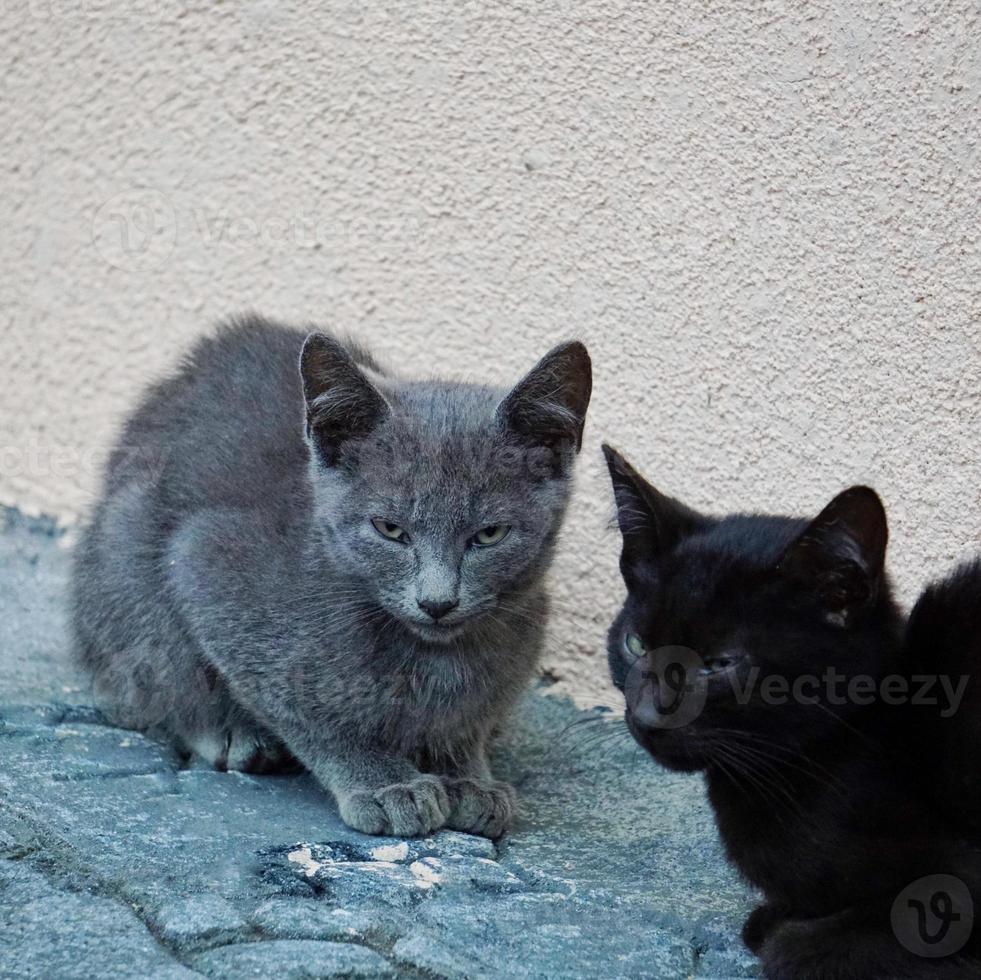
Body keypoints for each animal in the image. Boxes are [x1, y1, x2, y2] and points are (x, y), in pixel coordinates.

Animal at [71, 318, 588, 840]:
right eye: (389, 529)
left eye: (489, 534)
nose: (437, 602)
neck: (433, 658)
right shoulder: (207, 564)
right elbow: (311, 714)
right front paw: (386, 782)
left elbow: (465, 723)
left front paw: (467, 778)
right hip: (126, 552)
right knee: (146, 682)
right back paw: (232, 734)